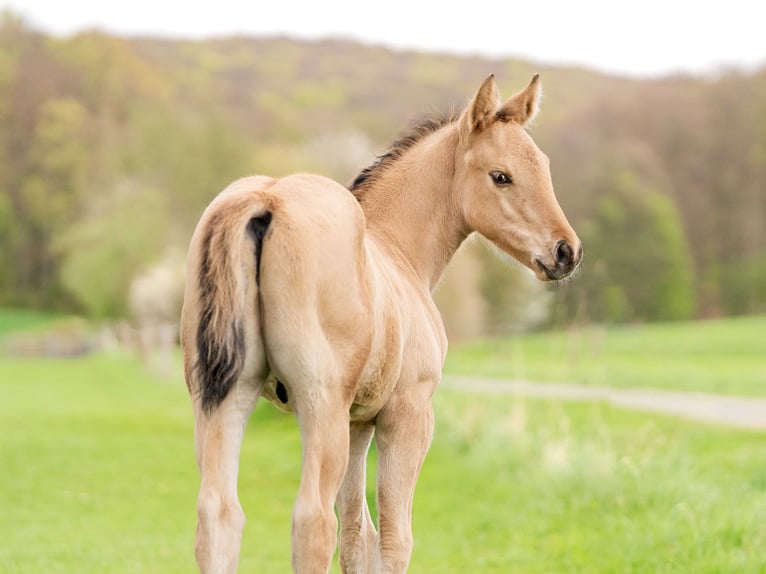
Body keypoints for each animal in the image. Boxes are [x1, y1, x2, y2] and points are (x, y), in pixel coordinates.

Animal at [183, 74, 584, 572]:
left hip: (223, 396)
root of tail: (267, 199)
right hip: (319, 405)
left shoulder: (359, 424)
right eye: (501, 176)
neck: (397, 250)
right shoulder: (407, 416)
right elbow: (393, 539)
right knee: (313, 522)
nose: (566, 251)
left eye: (542, 166)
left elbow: (358, 536)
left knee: (219, 514)